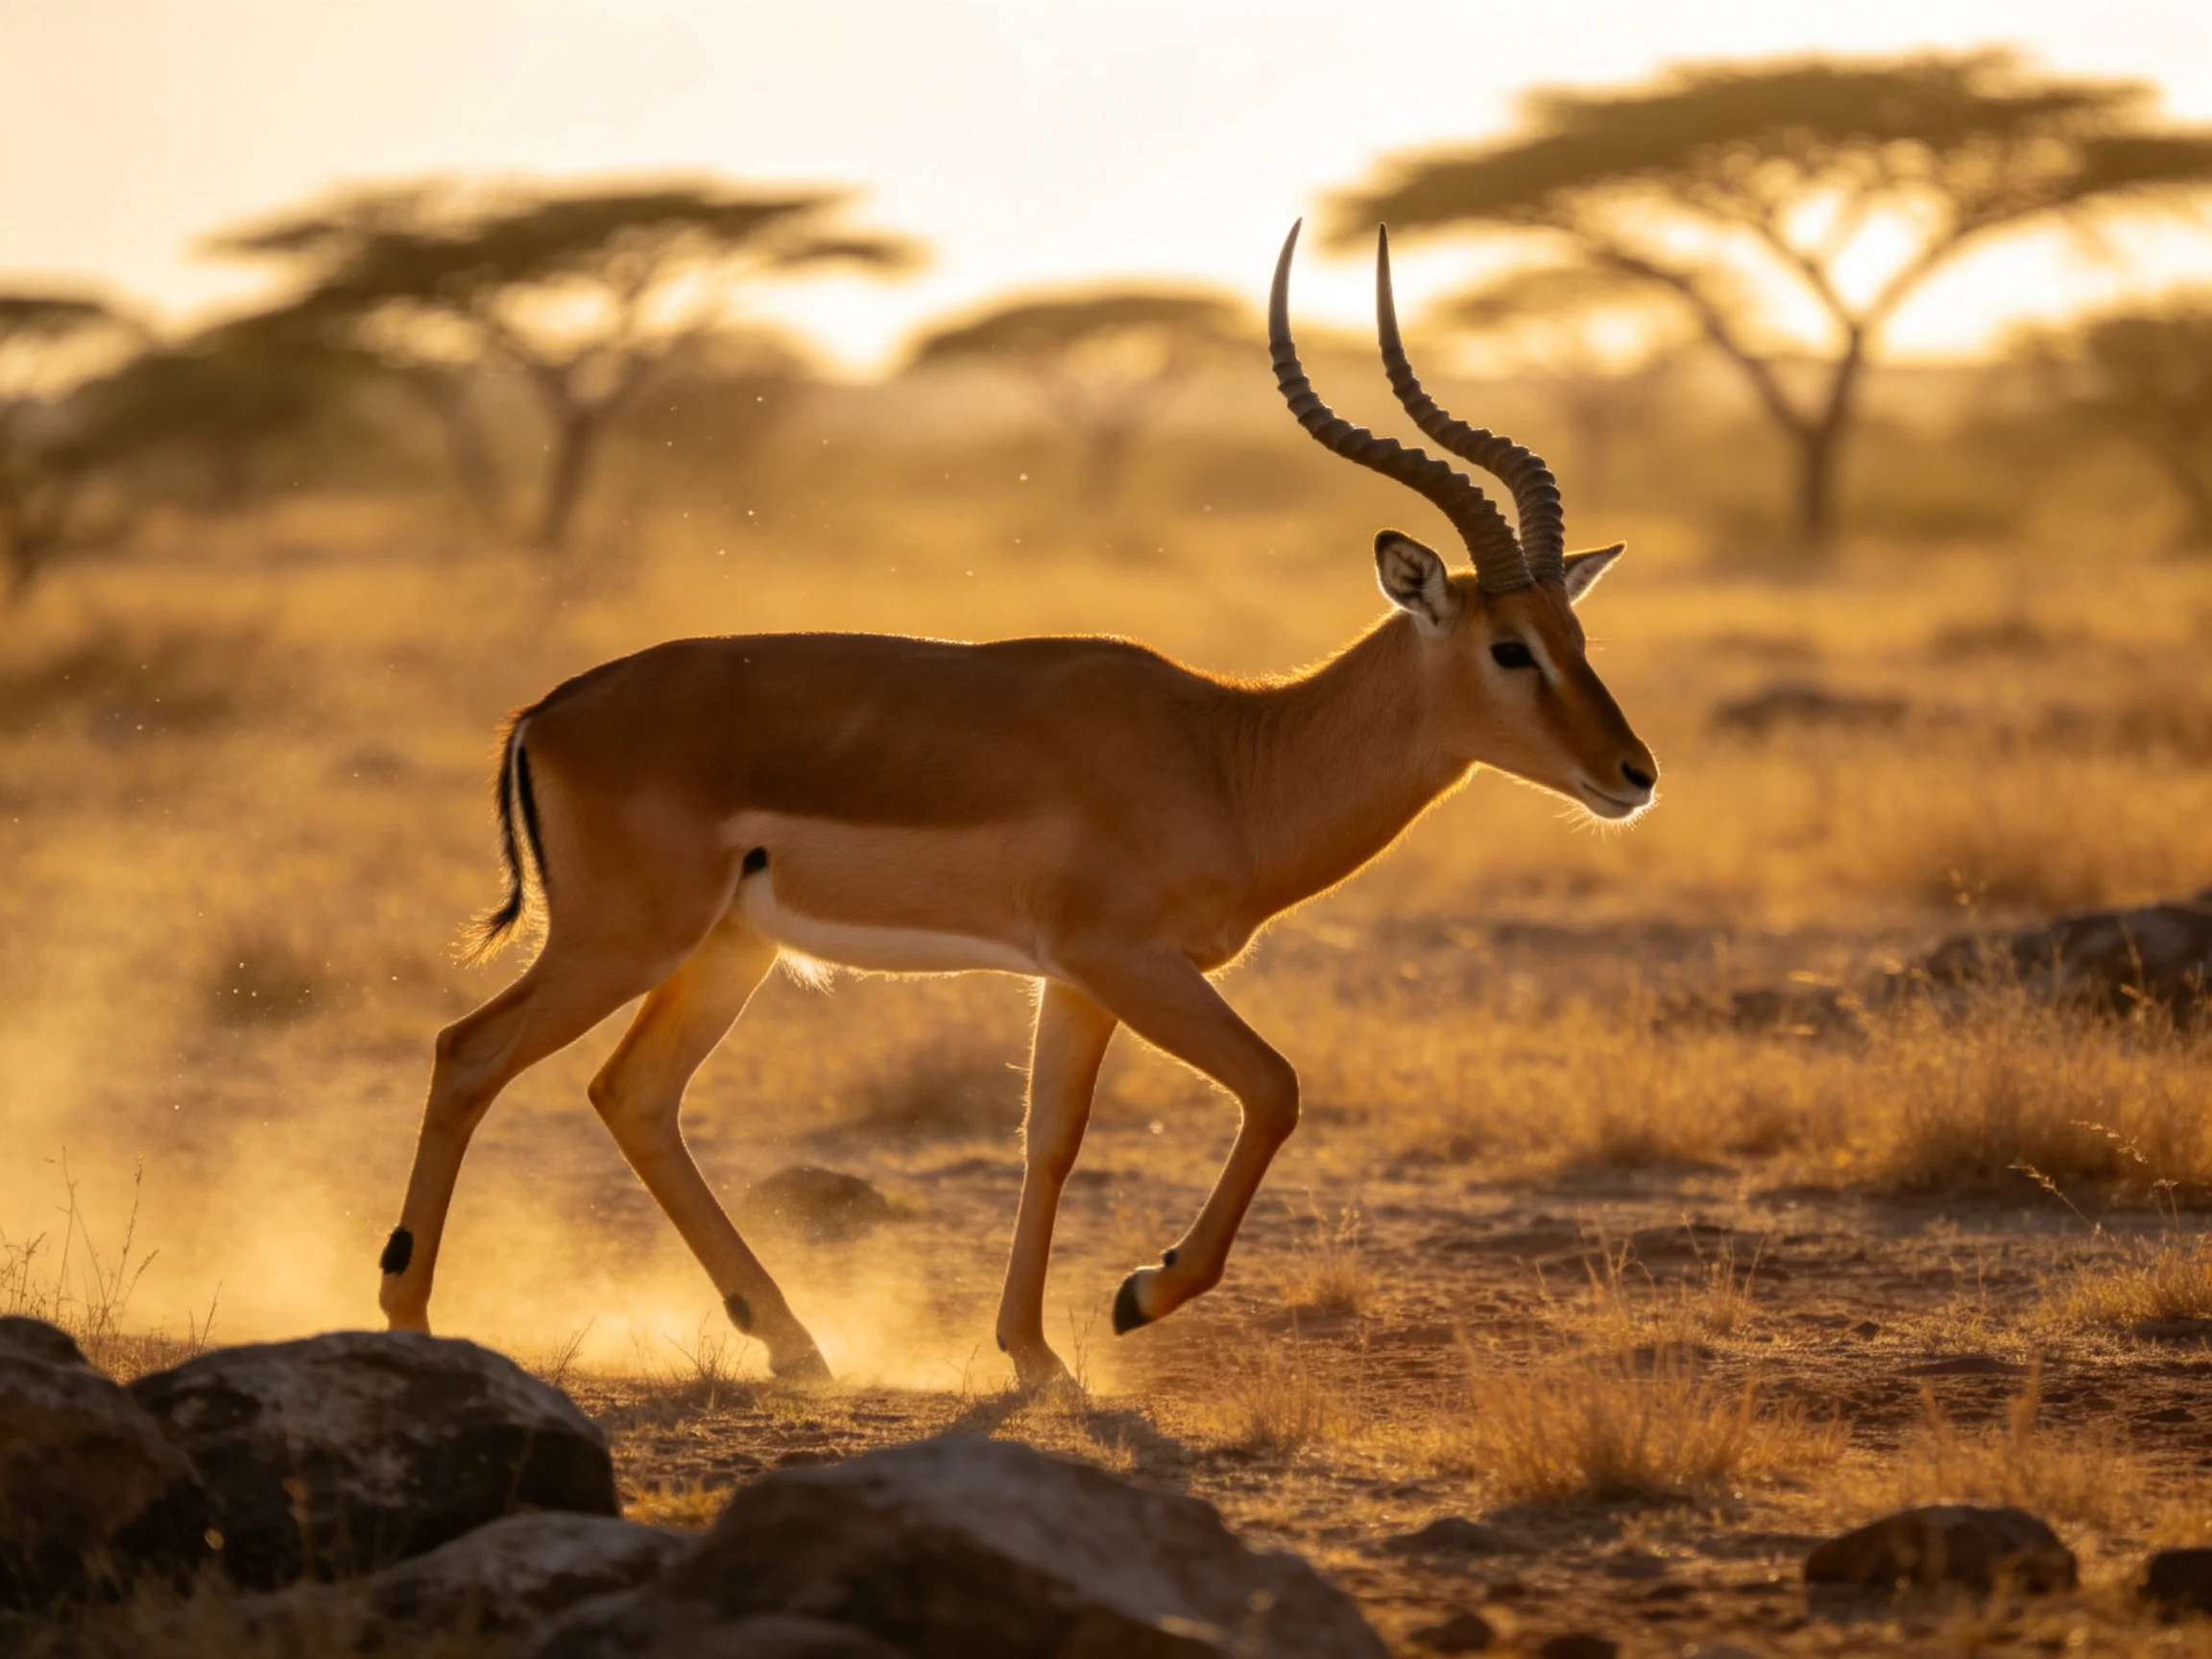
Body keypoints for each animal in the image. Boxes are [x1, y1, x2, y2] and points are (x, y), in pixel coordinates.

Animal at [377, 222, 1657, 1390]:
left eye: (1578, 635)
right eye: (1508, 648)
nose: (1633, 773)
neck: (1227, 757)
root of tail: (546, 711)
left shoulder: (1076, 980)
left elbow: (1050, 1139)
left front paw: (1036, 1356)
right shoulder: (1125, 960)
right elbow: (1276, 1087)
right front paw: (1139, 1297)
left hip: (726, 950)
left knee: (631, 1095)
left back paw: (795, 1343)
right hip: (623, 941)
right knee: (469, 1051)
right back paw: (412, 1316)